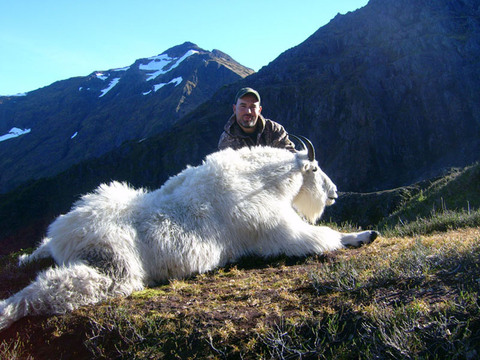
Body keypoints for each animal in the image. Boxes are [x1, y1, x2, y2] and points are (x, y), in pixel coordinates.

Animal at [0, 136, 376, 330]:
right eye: (314, 168)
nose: (334, 192)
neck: (262, 181)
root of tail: (66, 234)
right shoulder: (276, 230)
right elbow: (320, 238)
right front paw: (364, 234)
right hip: (111, 267)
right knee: (54, 288)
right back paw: (7, 311)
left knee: (40, 255)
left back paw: (25, 259)